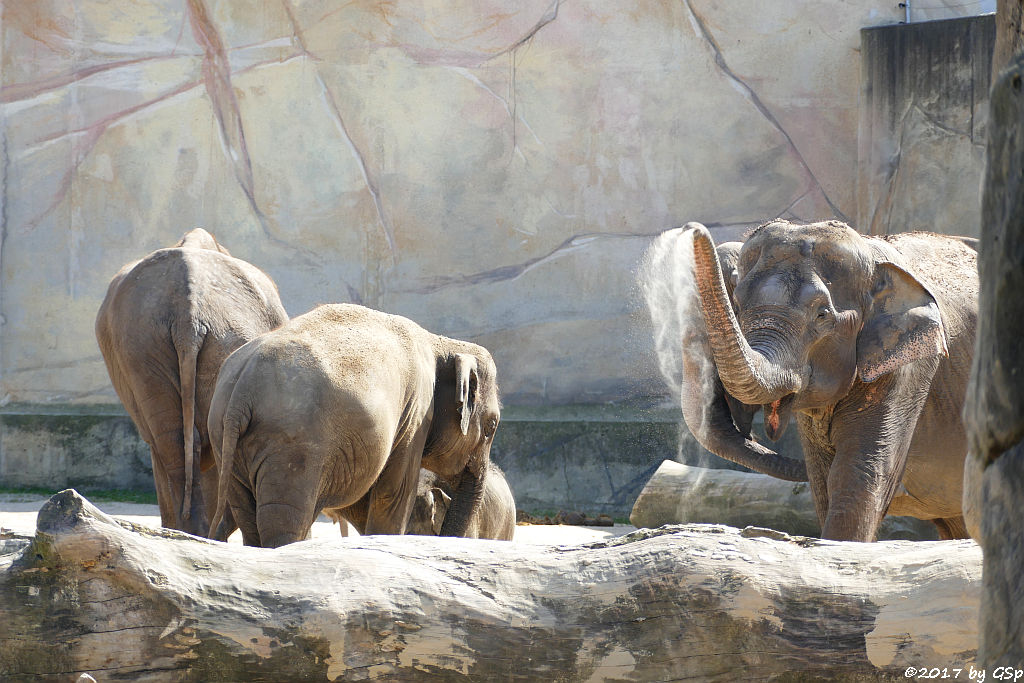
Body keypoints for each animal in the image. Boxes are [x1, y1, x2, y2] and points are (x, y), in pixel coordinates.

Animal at [95, 229, 288, 540]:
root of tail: (189, 317)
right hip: (185, 340)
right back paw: (196, 535)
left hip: (144, 344)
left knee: (173, 442)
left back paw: (190, 534)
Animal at [205, 301, 501, 548]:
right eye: (491, 427)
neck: (440, 343)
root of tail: (242, 389)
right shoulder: (416, 415)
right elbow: (393, 496)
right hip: (290, 446)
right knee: (284, 518)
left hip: (226, 439)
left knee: (248, 516)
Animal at [675, 222, 978, 540]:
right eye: (737, 304)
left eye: (822, 315)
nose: (692, 228)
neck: (870, 253)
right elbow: (822, 481)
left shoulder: (908, 369)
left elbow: (858, 473)